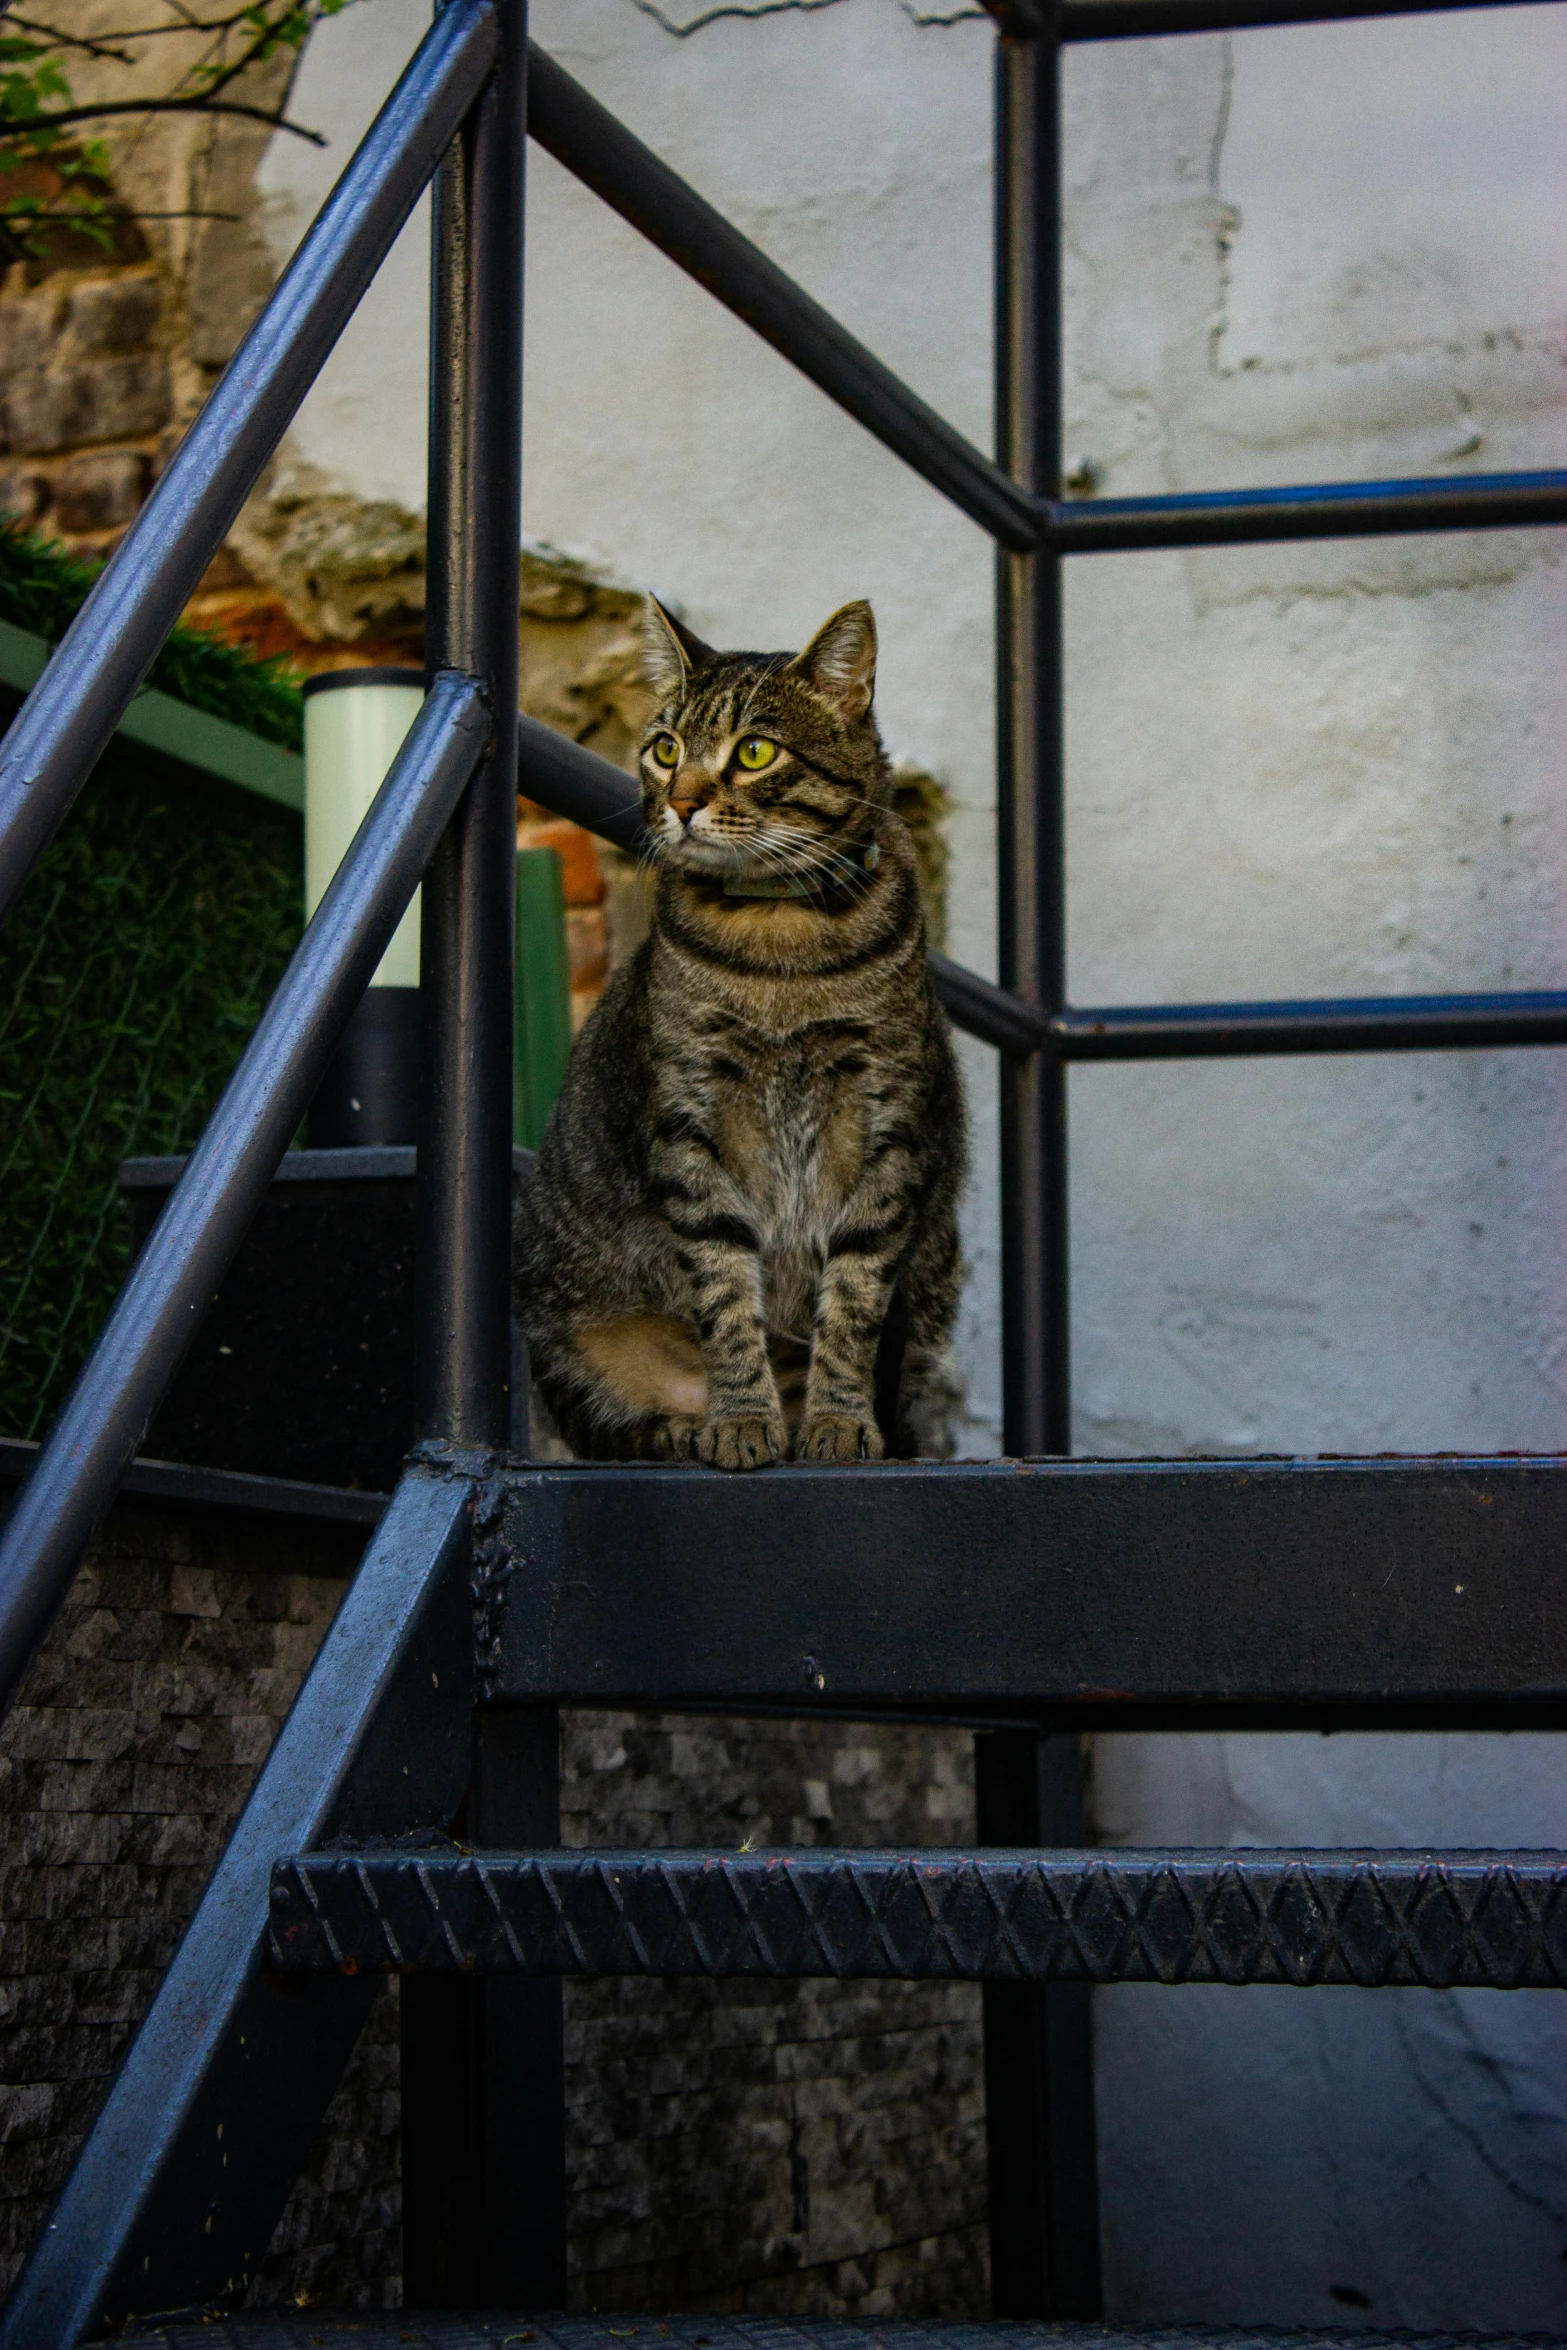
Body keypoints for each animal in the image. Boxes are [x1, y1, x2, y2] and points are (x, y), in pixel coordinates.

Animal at [514, 592, 963, 1466]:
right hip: (561, 1333)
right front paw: (742, 1419)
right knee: (613, 1428)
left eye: (754, 752)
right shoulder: (691, 1126)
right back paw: (687, 1425)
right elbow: (725, 1292)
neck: (779, 938)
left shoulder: (885, 1128)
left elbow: (853, 1302)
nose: (681, 801)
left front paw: (837, 1422)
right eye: (663, 749)